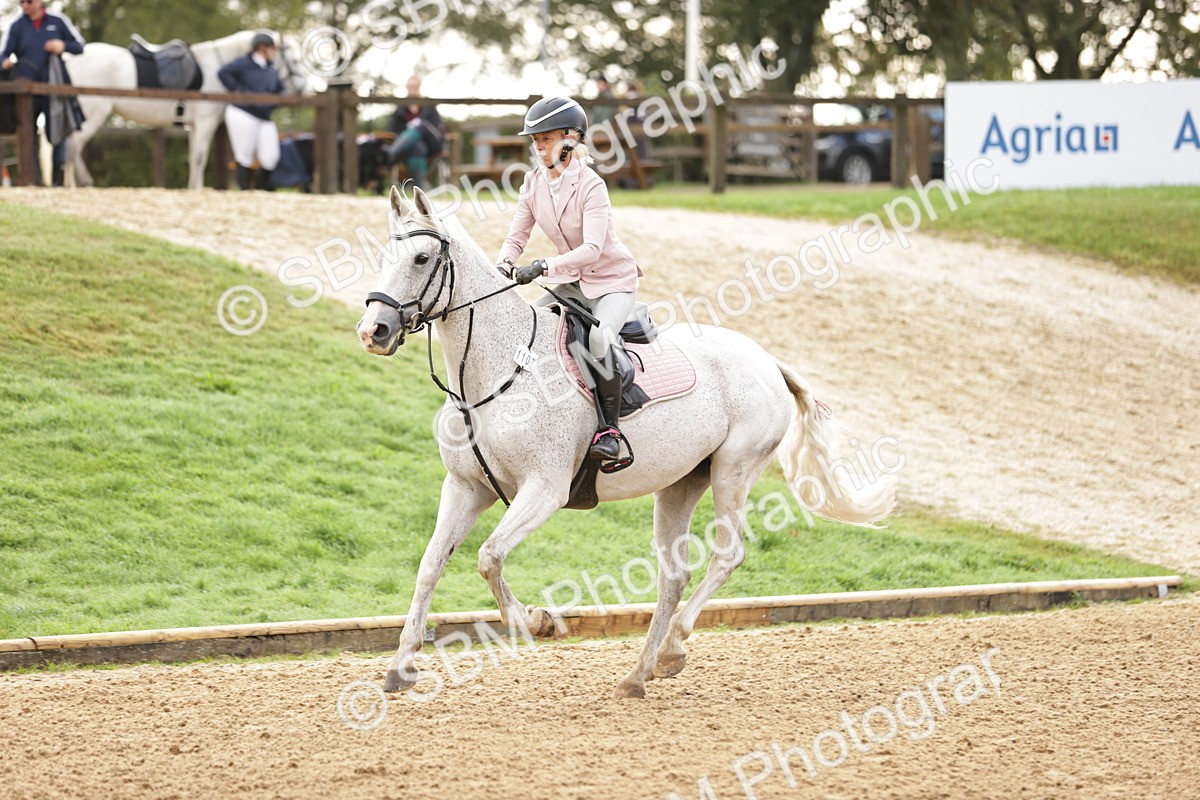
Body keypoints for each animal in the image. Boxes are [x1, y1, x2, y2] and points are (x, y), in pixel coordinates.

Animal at [62, 30, 306, 190]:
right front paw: (197, 189)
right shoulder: (206, 122)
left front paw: (193, 188)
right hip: (93, 114)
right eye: (293, 61)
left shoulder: (195, 126)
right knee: (72, 146)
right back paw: (73, 184)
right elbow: (199, 157)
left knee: (72, 146)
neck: (215, 67)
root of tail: (71, 59)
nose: (303, 90)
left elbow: (194, 156)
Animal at [357, 186, 896, 699]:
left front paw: (535, 621)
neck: (500, 371)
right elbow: (431, 565)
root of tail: (766, 359)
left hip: (733, 472)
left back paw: (674, 648)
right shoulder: (467, 488)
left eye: (421, 258)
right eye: (385, 254)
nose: (373, 331)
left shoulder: (544, 489)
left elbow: (489, 557)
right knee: (673, 575)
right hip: (681, 484)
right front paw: (401, 667)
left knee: (727, 555)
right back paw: (640, 674)